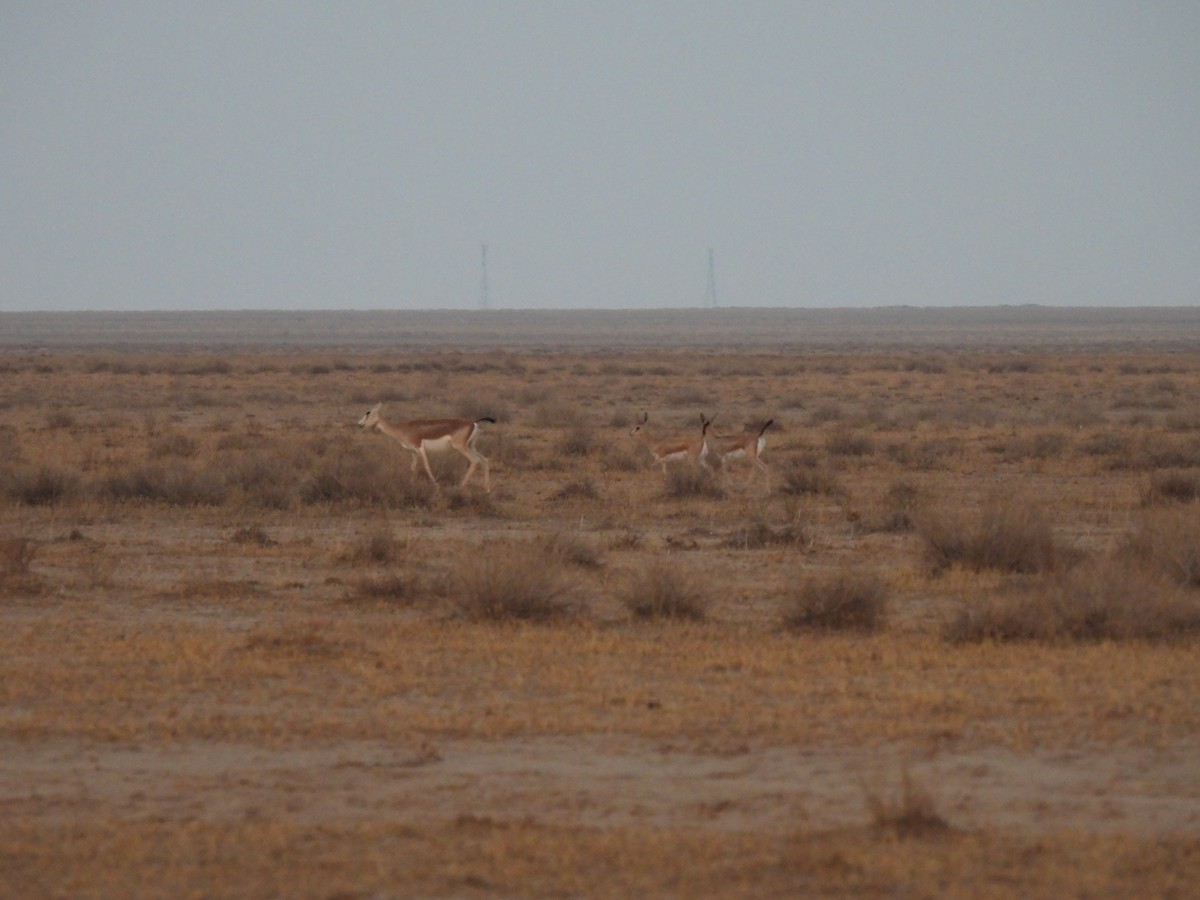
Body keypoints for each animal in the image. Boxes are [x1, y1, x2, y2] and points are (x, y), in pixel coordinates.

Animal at [357, 402, 494, 492]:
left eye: (368, 412)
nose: (359, 424)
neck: (402, 429)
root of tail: (473, 423)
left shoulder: (419, 448)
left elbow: (426, 466)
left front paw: (436, 486)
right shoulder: (413, 452)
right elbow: (413, 467)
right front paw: (411, 485)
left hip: (461, 447)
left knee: (475, 460)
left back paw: (460, 486)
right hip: (471, 446)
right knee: (484, 460)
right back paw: (487, 489)